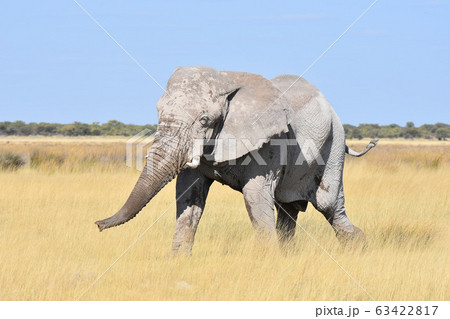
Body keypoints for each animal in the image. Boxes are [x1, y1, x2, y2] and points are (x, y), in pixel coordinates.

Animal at [95, 66, 376, 254]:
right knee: (288, 208)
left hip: (334, 143)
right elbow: (188, 193)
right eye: (158, 111)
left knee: (329, 205)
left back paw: (358, 246)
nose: (97, 224)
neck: (227, 79)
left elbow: (255, 196)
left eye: (205, 120)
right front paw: (177, 260)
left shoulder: (270, 142)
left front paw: (266, 262)